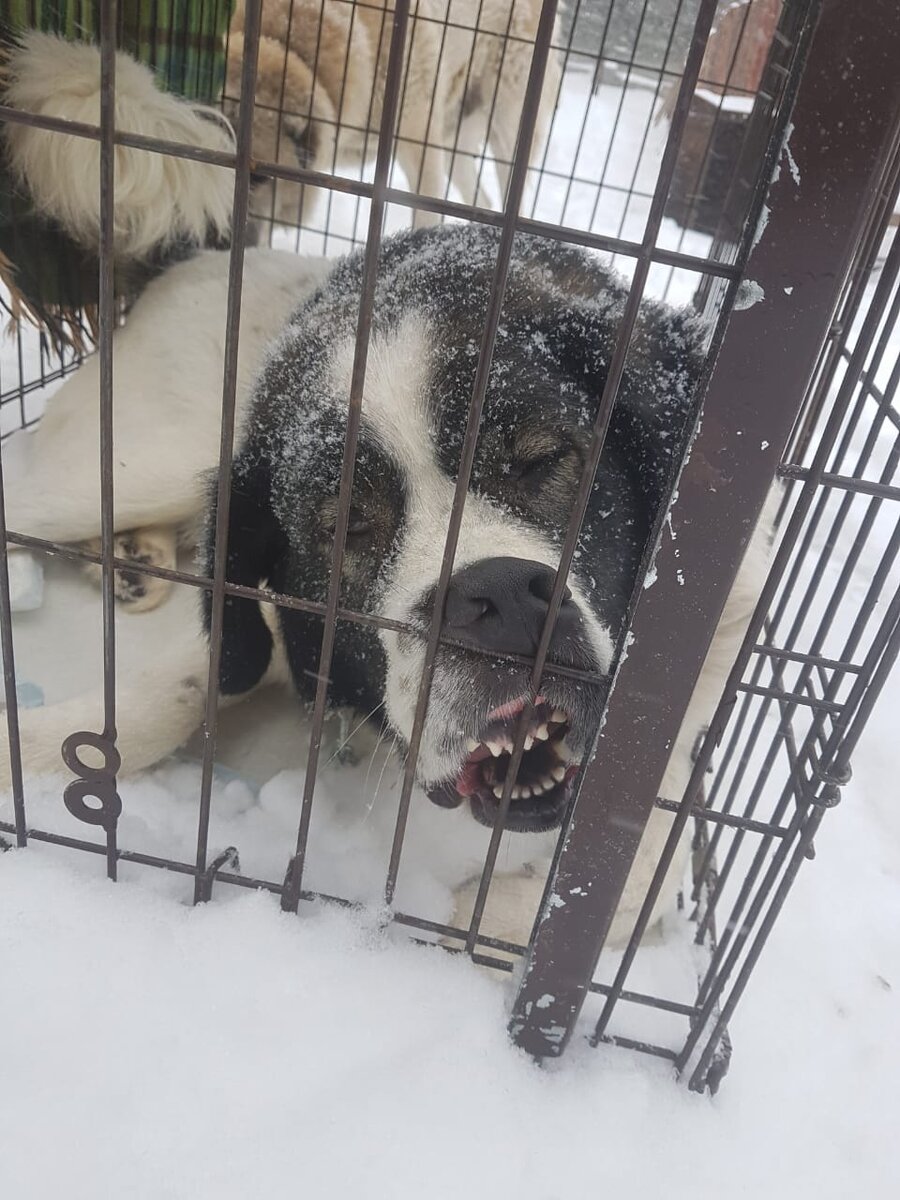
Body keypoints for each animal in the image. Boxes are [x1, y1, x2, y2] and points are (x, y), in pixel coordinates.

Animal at [0, 226, 777, 955]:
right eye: (349, 523)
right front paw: (34, 753)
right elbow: (180, 686)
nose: (504, 601)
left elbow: (631, 866)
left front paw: (460, 926)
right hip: (131, 464)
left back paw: (131, 561)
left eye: (543, 458)